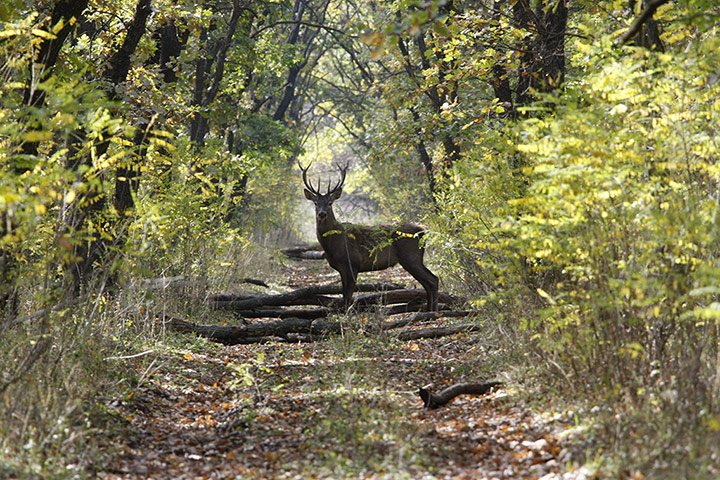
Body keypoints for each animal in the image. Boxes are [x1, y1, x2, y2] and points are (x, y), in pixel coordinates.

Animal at [300, 162, 439, 312]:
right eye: (316, 203)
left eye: (330, 203)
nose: (322, 214)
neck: (332, 246)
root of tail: (423, 230)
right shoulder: (341, 268)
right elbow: (344, 295)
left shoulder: (353, 263)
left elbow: (348, 297)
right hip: (412, 259)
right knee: (427, 283)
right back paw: (429, 311)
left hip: (411, 257)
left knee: (433, 280)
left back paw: (433, 312)